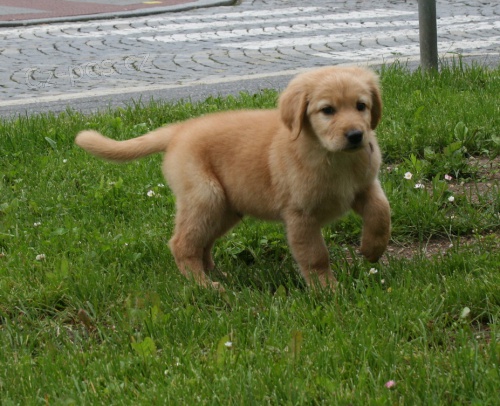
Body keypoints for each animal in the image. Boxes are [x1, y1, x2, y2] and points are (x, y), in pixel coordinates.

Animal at [75, 66, 391, 291]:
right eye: (327, 110)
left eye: (361, 106)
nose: (356, 135)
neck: (331, 156)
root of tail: (180, 130)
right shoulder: (300, 215)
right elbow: (316, 256)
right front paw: (328, 290)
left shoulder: (364, 186)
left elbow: (381, 211)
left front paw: (372, 249)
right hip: (205, 196)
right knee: (182, 244)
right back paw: (204, 285)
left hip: (226, 207)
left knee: (203, 243)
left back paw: (217, 273)